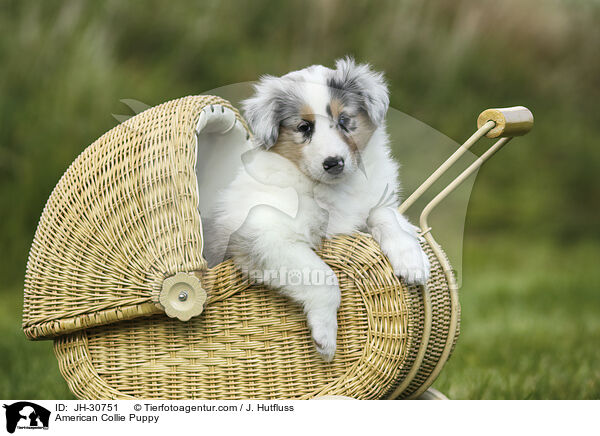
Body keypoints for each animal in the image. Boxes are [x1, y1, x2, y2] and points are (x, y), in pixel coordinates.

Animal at [204, 57, 428, 362]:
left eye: (344, 120)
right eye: (304, 127)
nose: (333, 163)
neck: (330, 189)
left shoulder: (370, 203)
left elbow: (385, 215)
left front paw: (412, 260)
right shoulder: (265, 235)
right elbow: (324, 277)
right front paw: (325, 338)